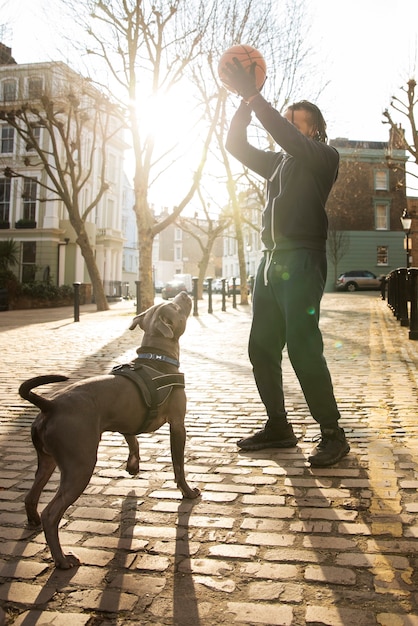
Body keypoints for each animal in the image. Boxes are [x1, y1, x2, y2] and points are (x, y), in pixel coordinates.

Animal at [17, 290, 198, 568]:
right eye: (176, 307)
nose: (184, 292)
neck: (156, 359)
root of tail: (50, 405)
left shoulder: (126, 419)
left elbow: (132, 440)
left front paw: (133, 466)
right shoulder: (178, 424)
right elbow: (178, 465)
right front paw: (187, 492)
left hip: (47, 461)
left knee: (30, 497)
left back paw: (34, 521)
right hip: (80, 466)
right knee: (51, 513)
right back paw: (62, 560)